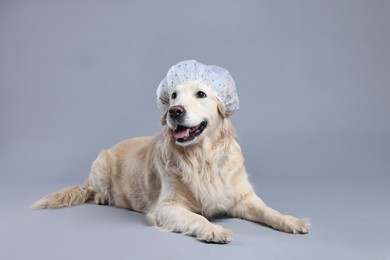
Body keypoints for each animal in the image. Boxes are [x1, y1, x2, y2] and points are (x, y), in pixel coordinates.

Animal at [30, 69, 310, 244]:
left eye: (201, 94)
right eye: (173, 96)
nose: (174, 111)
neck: (202, 157)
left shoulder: (243, 198)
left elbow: (270, 212)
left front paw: (293, 221)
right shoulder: (166, 207)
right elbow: (196, 217)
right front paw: (213, 230)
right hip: (100, 162)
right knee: (92, 188)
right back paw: (101, 197)